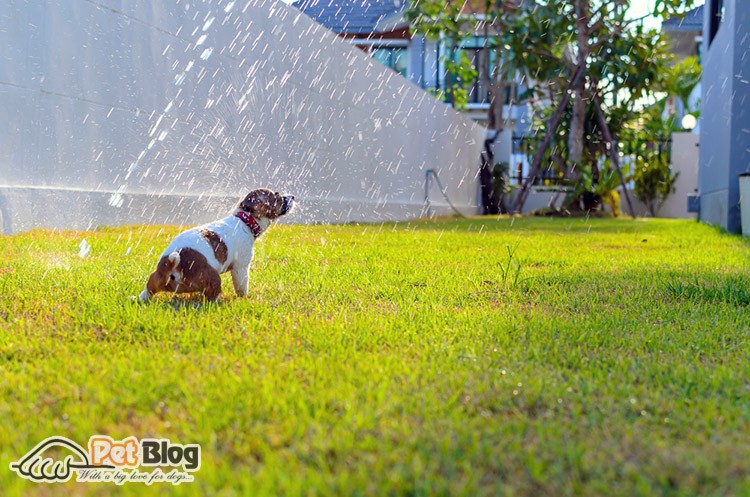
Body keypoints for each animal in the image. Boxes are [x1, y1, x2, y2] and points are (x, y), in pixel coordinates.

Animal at [138, 187, 294, 300]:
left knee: (148, 290)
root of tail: (172, 265)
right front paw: (244, 298)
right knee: (212, 296)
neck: (245, 220)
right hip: (213, 278)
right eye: (277, 196)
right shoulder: (241, 268)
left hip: (154, 279)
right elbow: (242, 286)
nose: (292, 196)